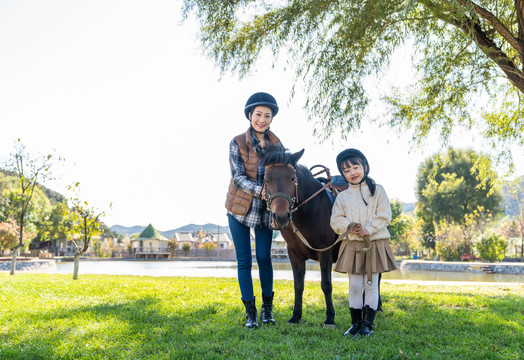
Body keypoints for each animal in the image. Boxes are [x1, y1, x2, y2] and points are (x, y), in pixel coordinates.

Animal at [260, 146, 340, 326]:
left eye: (292, 178)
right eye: (266, 180)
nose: (281, 216)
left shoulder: (325, 252)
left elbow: (326, 284)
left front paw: (330, 318)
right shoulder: (294, 253)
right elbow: (298, 285)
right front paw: (296, 316)